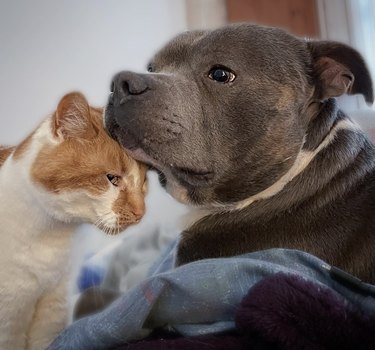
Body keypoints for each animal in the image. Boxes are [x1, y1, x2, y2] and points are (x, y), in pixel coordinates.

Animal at [0, 92, 148, 350]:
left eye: (143, 182)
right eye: (112, 178)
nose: (141, 212)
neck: (51, 235)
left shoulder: (54, 307)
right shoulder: (9, 318)